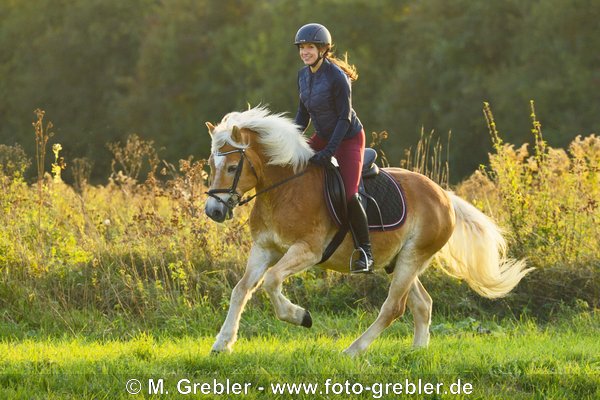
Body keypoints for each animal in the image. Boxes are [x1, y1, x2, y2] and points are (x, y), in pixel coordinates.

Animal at [203, 106, 528, 356]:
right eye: (211, 164)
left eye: (231, 167)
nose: (213, 211)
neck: (285, 188)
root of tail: (444, 196)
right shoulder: (265, 248)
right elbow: (241, 289)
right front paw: (222, 344)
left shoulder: (307, 251)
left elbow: (271, 281)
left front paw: (300, 316)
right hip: (400, 262)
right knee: (422, 304)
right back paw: (417, 351)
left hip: (412, 258)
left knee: (393, 307)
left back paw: (353, 350)